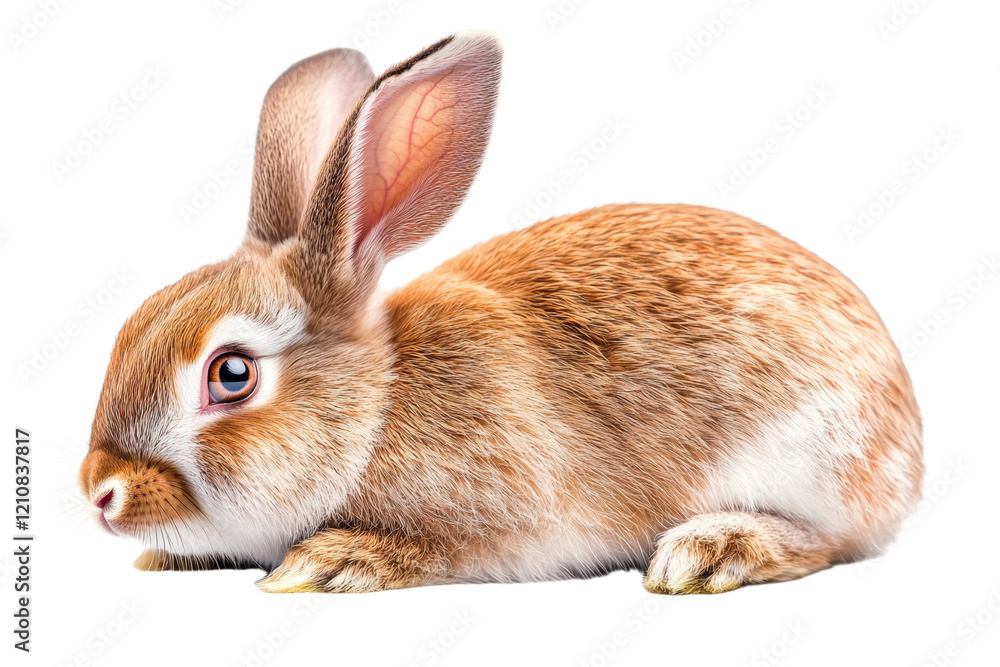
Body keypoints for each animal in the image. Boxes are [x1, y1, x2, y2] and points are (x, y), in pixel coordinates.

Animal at [78, 31, 923, 595]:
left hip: (814, 452)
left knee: (833, 542)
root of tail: (908, 432)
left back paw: (713, 549)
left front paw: (333, 559)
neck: (379, 406)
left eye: (231, 374)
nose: (99, 492)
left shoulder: (518, 514)